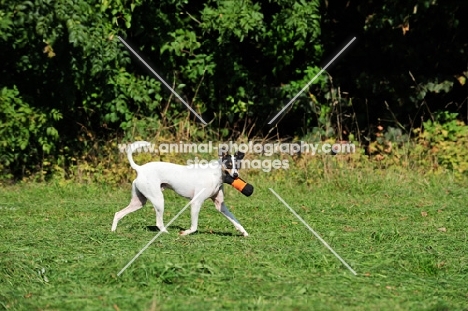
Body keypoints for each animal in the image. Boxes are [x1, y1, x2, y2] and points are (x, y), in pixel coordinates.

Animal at [111, 141, 249, 236]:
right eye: (229, 165)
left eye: (237, 165)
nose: (236, 175)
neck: (215, 174)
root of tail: (140, 169)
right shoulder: (196, 203)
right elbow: (194, 227)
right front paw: (185, 233)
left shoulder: (220, 205)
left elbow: (236, 221)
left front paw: (244, 233)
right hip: (158, 200)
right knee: (158, 223)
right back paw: (166, 233)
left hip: (138, 202)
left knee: (118, 214)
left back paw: (113, 231)